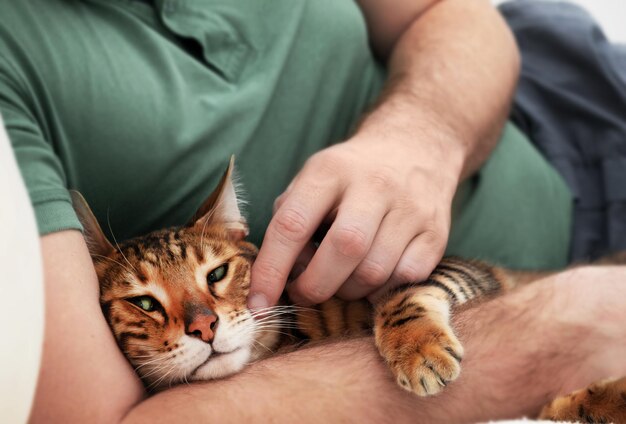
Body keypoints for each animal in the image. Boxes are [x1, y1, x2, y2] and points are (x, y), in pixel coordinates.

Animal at [73, 157, 624, 422]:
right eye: (144, 302)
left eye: (216, 274)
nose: (204, 327)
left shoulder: (455, 266)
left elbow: (406, 295)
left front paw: (417, 349)